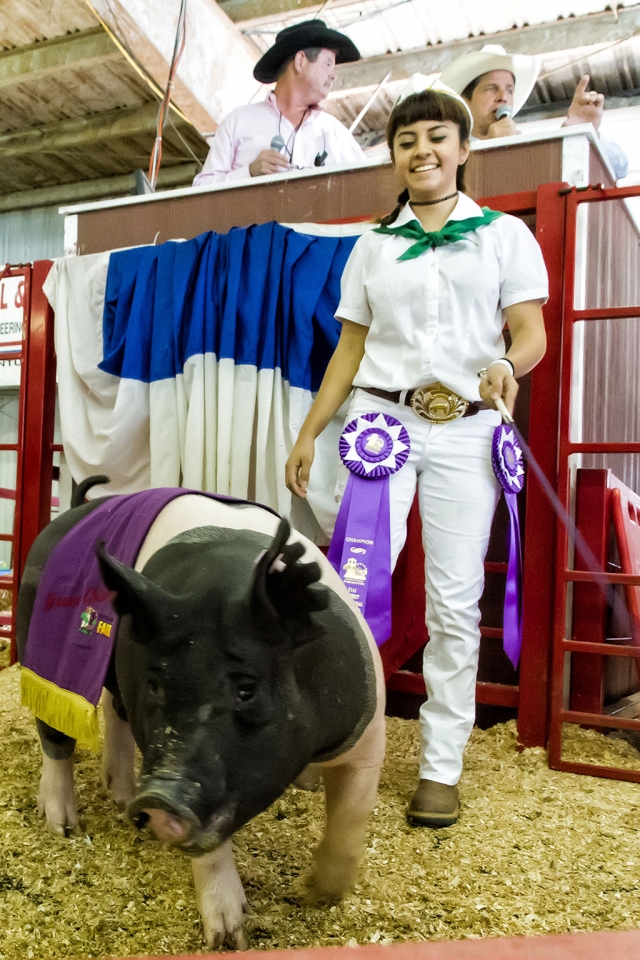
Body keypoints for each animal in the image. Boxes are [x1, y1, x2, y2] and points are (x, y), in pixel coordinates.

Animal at [16, 484, 384, 948]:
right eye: (157, 684)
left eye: (247, 688)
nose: (158, 799)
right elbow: (210, 848)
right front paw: (228, 939)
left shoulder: (368, 735)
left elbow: (351, 821)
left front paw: (316, 893)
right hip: (41, 648)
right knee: (54, 736)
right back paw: (62, 827)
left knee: (114, 713)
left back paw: (121, 796)